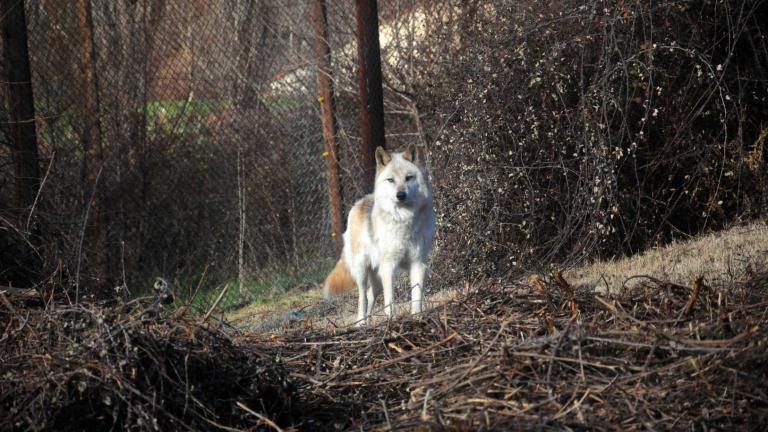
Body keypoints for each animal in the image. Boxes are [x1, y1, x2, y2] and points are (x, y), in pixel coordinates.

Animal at [320, 143, 436, 326]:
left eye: (408, 178)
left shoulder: (418, 264)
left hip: (378, 277)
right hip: (362, 271)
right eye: (391, 180)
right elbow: (390, 302)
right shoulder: (389, 267)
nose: (400, 195)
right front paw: (391, 321)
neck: (404, 220)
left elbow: (416, 297)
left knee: (369, 295)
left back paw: (368, 323)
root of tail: (359, 202)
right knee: (362, 298)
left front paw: (417, 318)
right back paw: (360, 323)